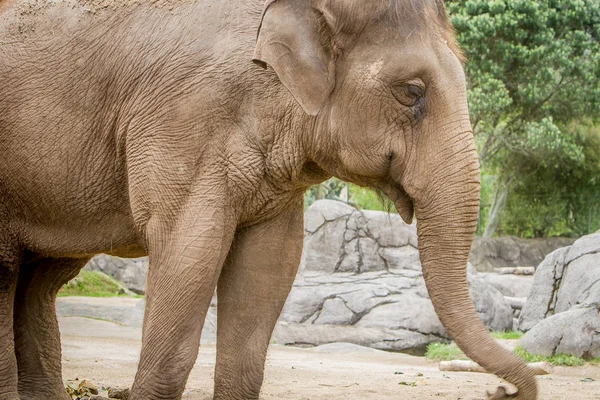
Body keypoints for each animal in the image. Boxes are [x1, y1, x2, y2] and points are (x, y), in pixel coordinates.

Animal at [0, 0, 536, 398]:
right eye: (412, 91)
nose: (501, 391)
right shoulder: (184, 121)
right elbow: (188, 253)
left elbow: (268, 269)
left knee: (41, 280)